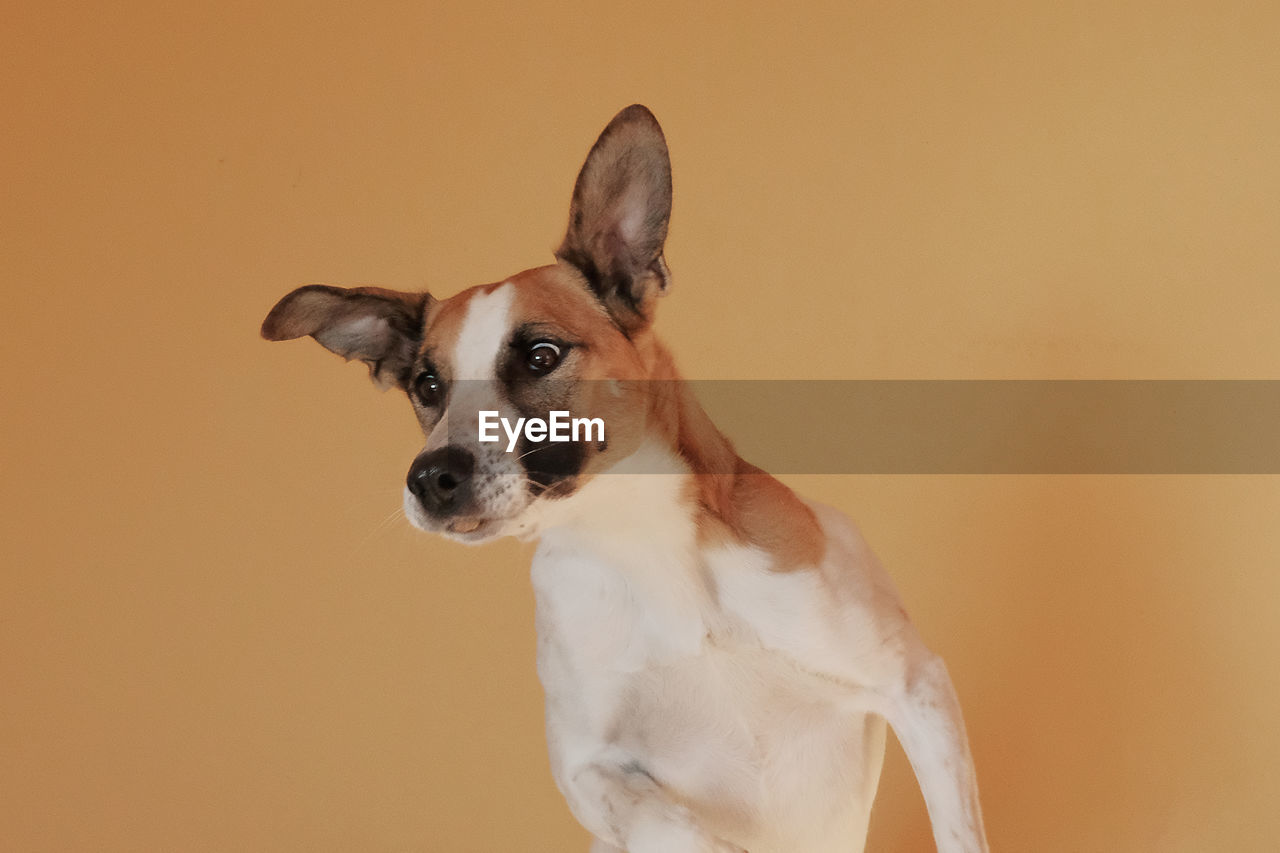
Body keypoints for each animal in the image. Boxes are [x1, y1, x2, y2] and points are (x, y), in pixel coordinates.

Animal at [259, 103, 983, 845]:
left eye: (541, 355)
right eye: (426, 385)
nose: (430, 478)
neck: (638, 540)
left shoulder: (916, 685)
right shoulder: (588, 770)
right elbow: (674, 826)